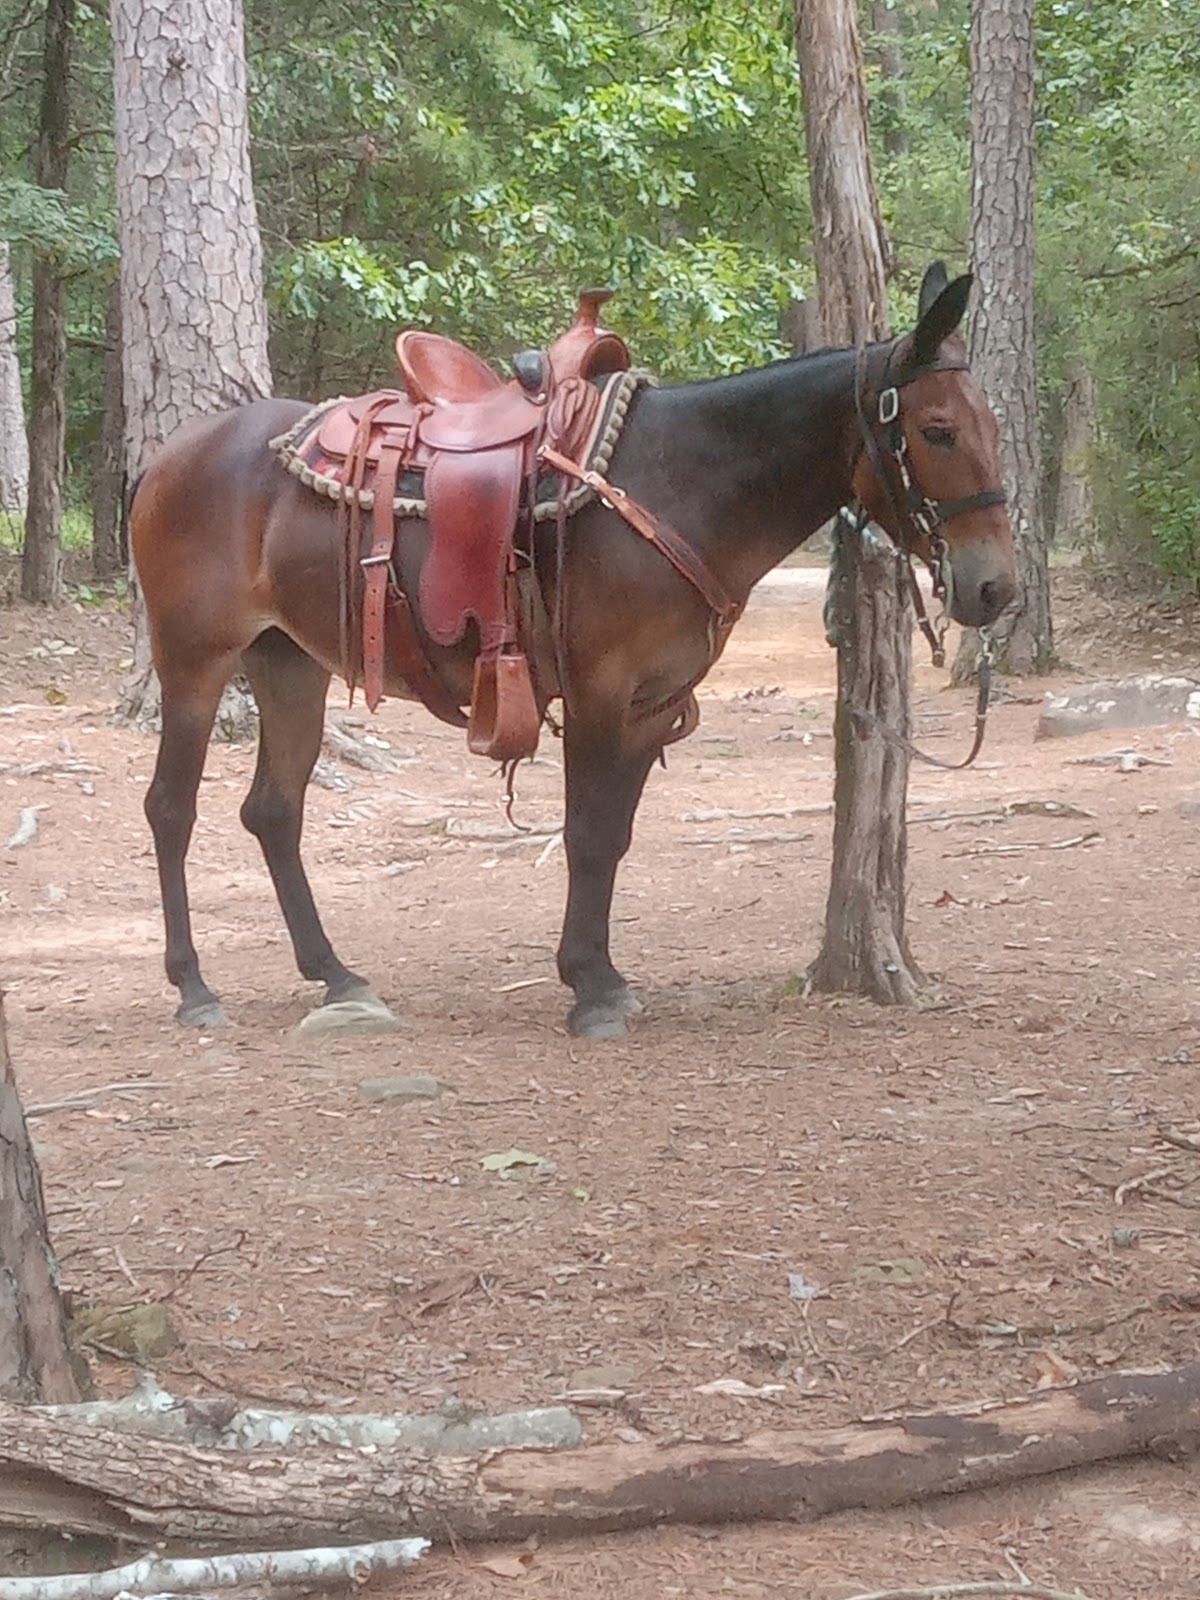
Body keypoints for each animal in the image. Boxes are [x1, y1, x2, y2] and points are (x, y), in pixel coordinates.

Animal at [131, 262, 1016, 1040]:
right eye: (937, 431)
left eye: (992, 426)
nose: (994, 588)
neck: (684, 481)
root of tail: (164, 459)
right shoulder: (599, 689)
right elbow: (585, 832)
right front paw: (589, 991)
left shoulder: (653, 703)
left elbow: (613, 834)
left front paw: (604, 975)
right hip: (194, 661)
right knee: (171, 809)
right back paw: (194, 988)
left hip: (288, 663)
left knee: (273, 812)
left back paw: (336, 974)